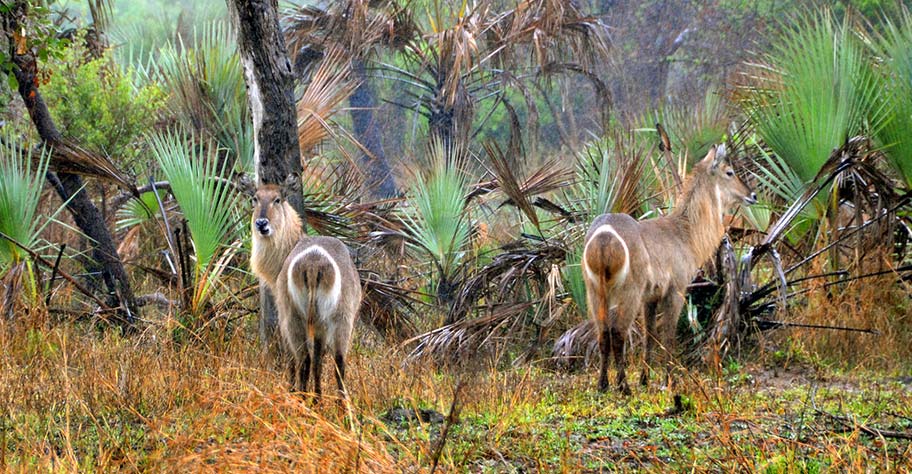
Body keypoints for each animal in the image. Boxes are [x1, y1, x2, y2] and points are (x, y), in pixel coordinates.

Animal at [251, 184, 366, 396]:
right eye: (255, 198)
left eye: (277, 199)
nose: (261, 223)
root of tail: (314, 262)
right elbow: (319, 362)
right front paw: (317, 395)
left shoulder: (283, 317)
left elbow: (291, 359)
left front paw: (292, 389)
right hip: (339, 318)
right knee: (337, 361)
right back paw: (336, 402)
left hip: (296, 317)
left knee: (303, 358)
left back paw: (301, 397)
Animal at [584, 143, 756, 392]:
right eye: (729, 172)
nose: (752, 195)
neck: (684, 234)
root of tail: (604, 237)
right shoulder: (676, 290)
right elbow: (668, 336)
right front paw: (668, 381)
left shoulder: (650, 297)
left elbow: (650, 336)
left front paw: (645, 379)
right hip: (628, 292)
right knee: (617, 334)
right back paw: (623, 387)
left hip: (595, 291)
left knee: (602, 334)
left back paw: (603, 385)